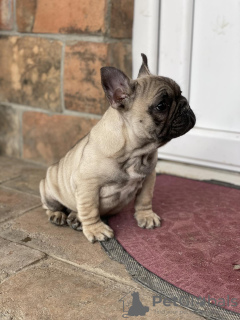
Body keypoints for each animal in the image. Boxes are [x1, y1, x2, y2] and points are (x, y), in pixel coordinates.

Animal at [39, 53, 195, 242]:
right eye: (161, 106)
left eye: (181, 94)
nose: (185, 105)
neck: (135, 153)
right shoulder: (87, 185)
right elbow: (90, 209)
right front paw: (96, 229)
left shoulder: (149, 178)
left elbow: (144, 199)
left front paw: (146, 216)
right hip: (49, 189)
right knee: (52, 206)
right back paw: (58, 215)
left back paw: (74, 217)